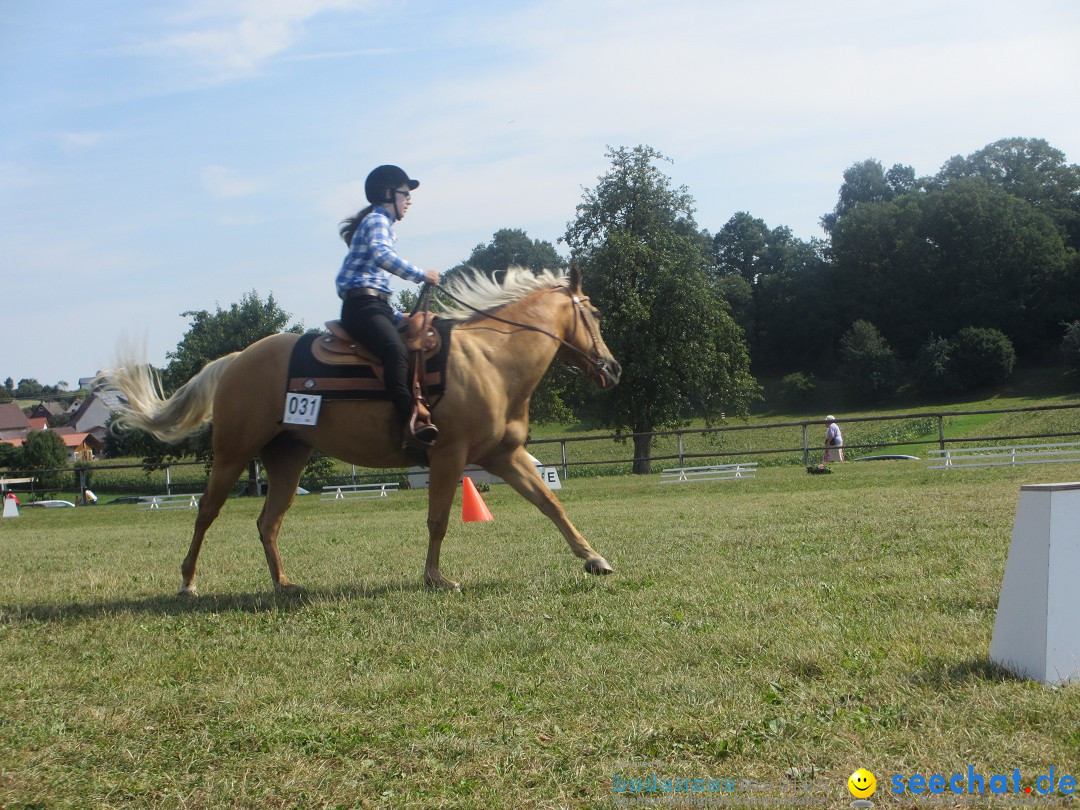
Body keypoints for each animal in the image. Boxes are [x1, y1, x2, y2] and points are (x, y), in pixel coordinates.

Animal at [101, 266, 626, 596]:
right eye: (596, 314)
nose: (613, 367)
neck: (492, 359)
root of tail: (235, 360)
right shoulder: (449, 455)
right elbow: (438, 519)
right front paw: (436, 578)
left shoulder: (505, 455)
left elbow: (551, 503)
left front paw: (594, 559)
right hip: (232, 454)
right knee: (206, 514)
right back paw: (188, 582)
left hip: (287, 459)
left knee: (268, 522)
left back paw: (283, 584)